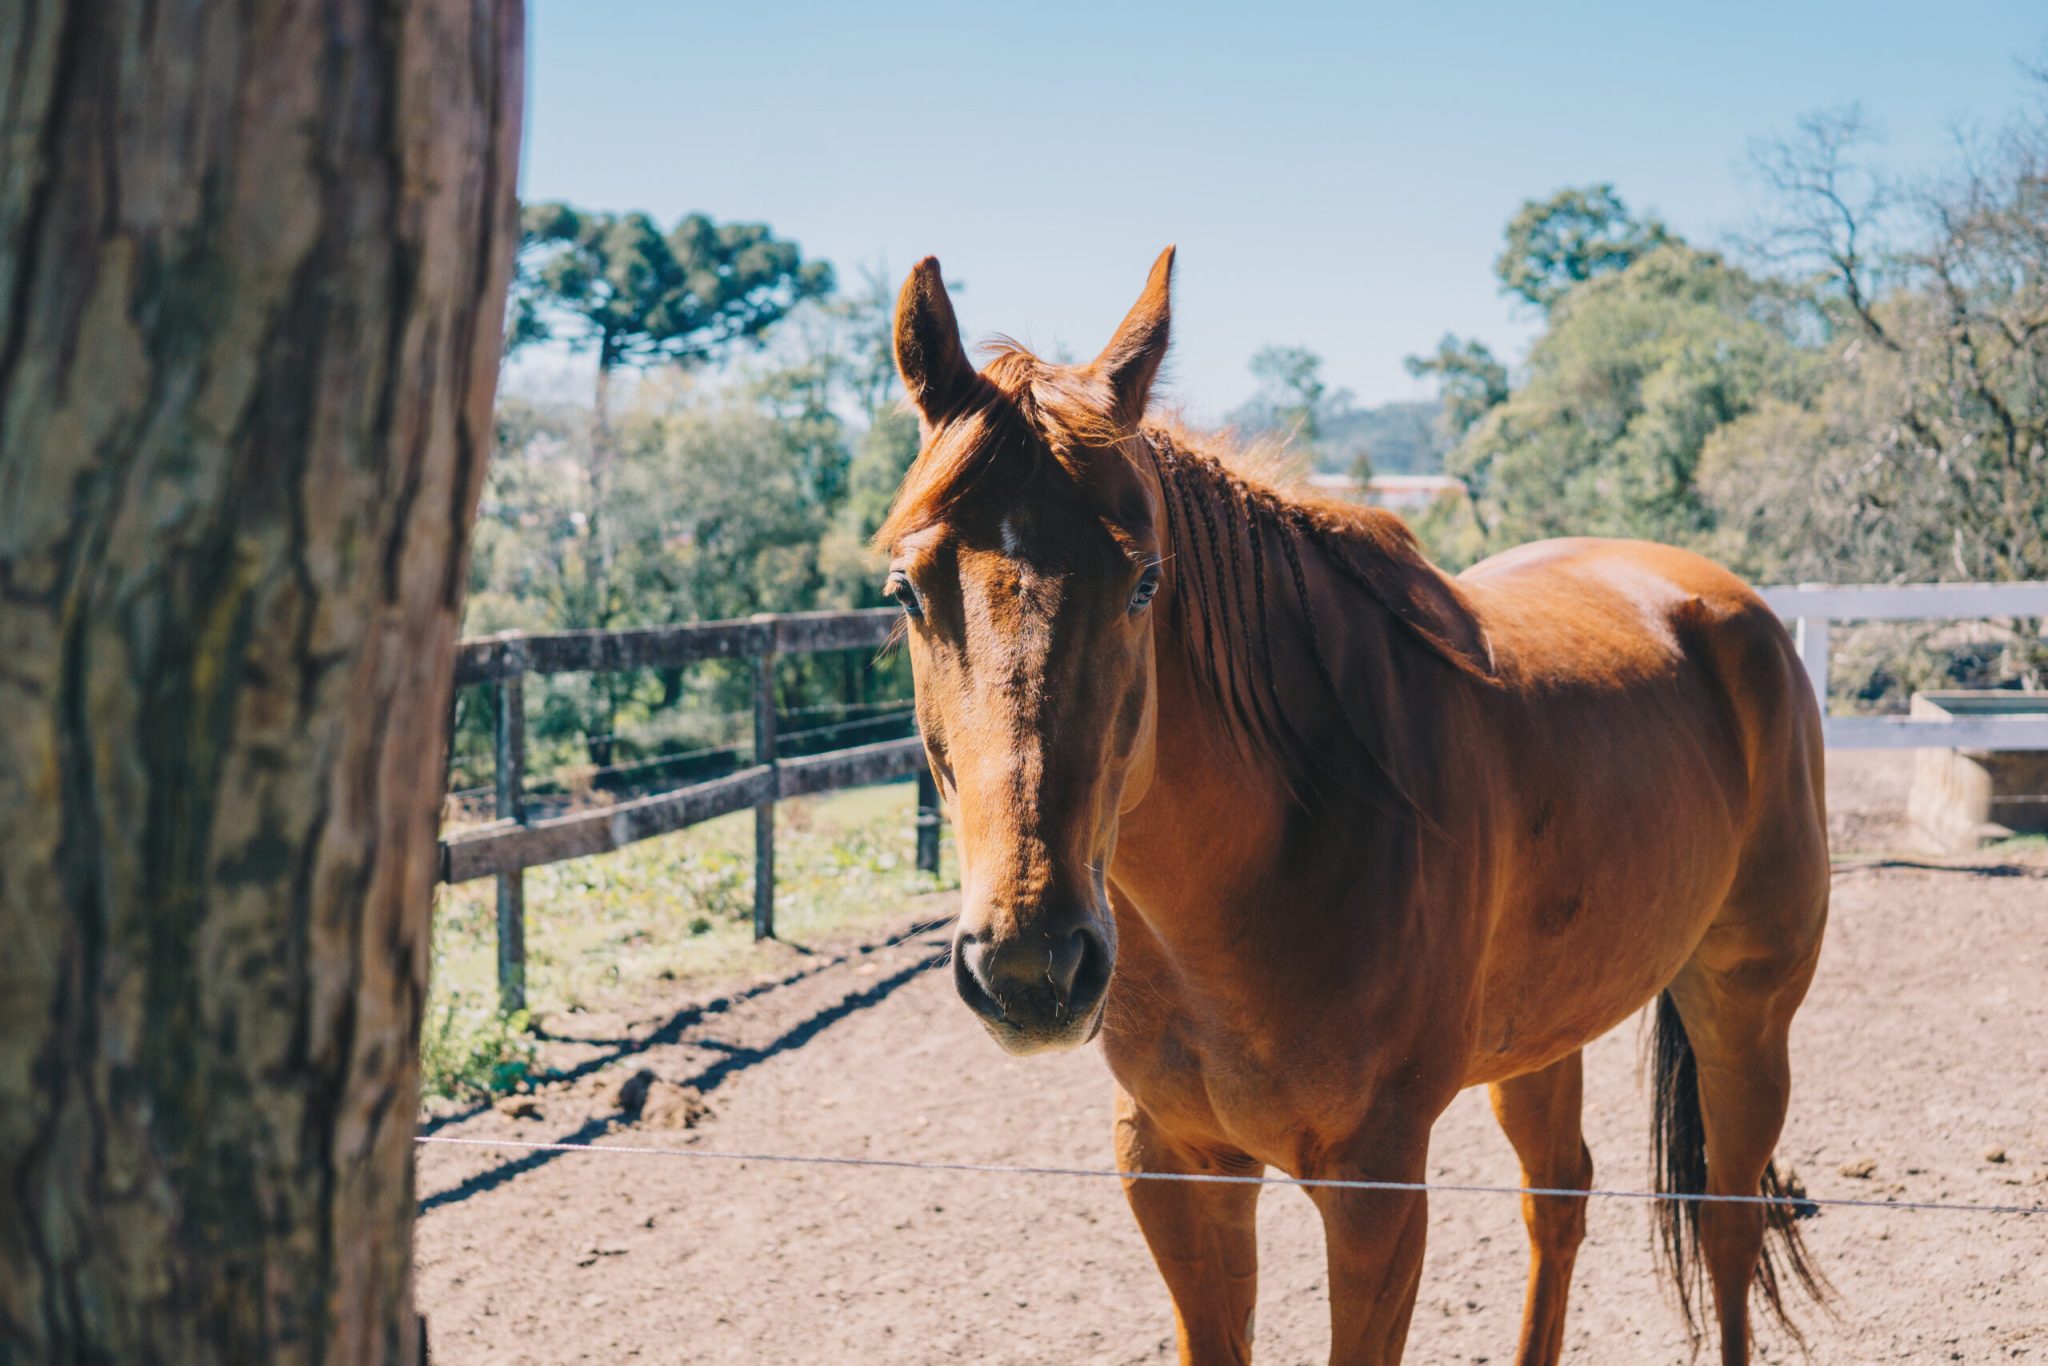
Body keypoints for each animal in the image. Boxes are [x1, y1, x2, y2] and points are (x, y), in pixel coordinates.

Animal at [876, 247, 1830, 1365]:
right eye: (905, 590)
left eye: (1144, 582)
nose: (1030, 968)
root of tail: (1731, 607)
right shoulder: (1173, 1167)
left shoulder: (1374, 1188)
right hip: (1545, 1036)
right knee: (1558, 1198)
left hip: (1744, 1008)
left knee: (1726, 1222)